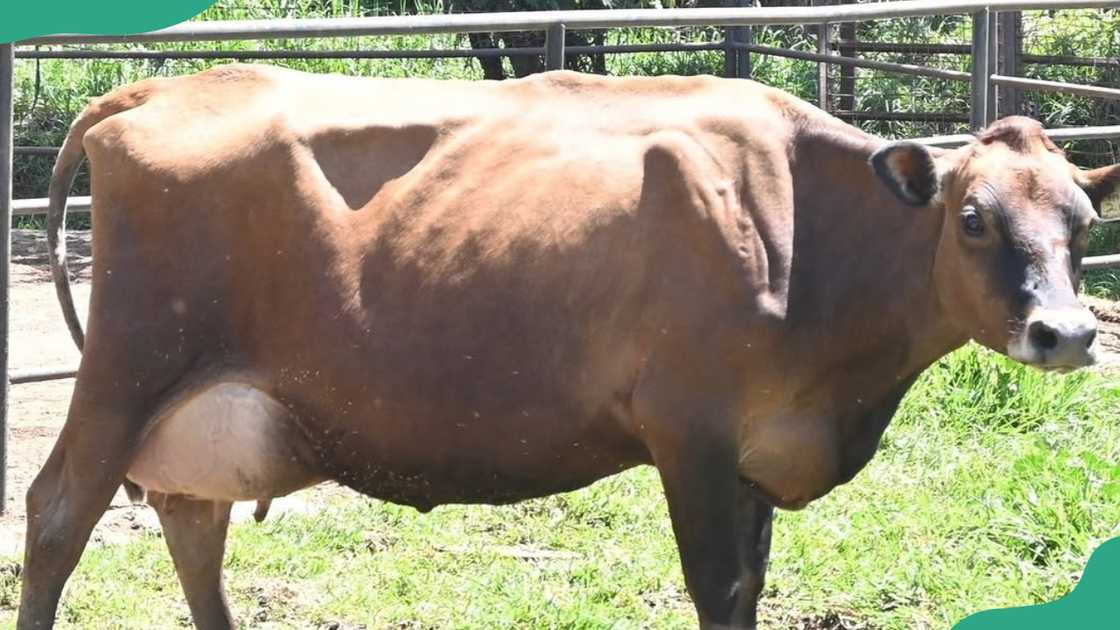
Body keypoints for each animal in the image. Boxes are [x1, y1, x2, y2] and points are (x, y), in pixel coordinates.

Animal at [18, 64, 1119, 630]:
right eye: (972, 218)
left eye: (1081, 223)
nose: (1067, 331)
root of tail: (161, 89)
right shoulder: (691, 430)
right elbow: (718, 585)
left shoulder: (758, 448)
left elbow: (751, 584)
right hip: (126, 370)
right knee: (59, 515)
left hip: (198, 408)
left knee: (191, 523)